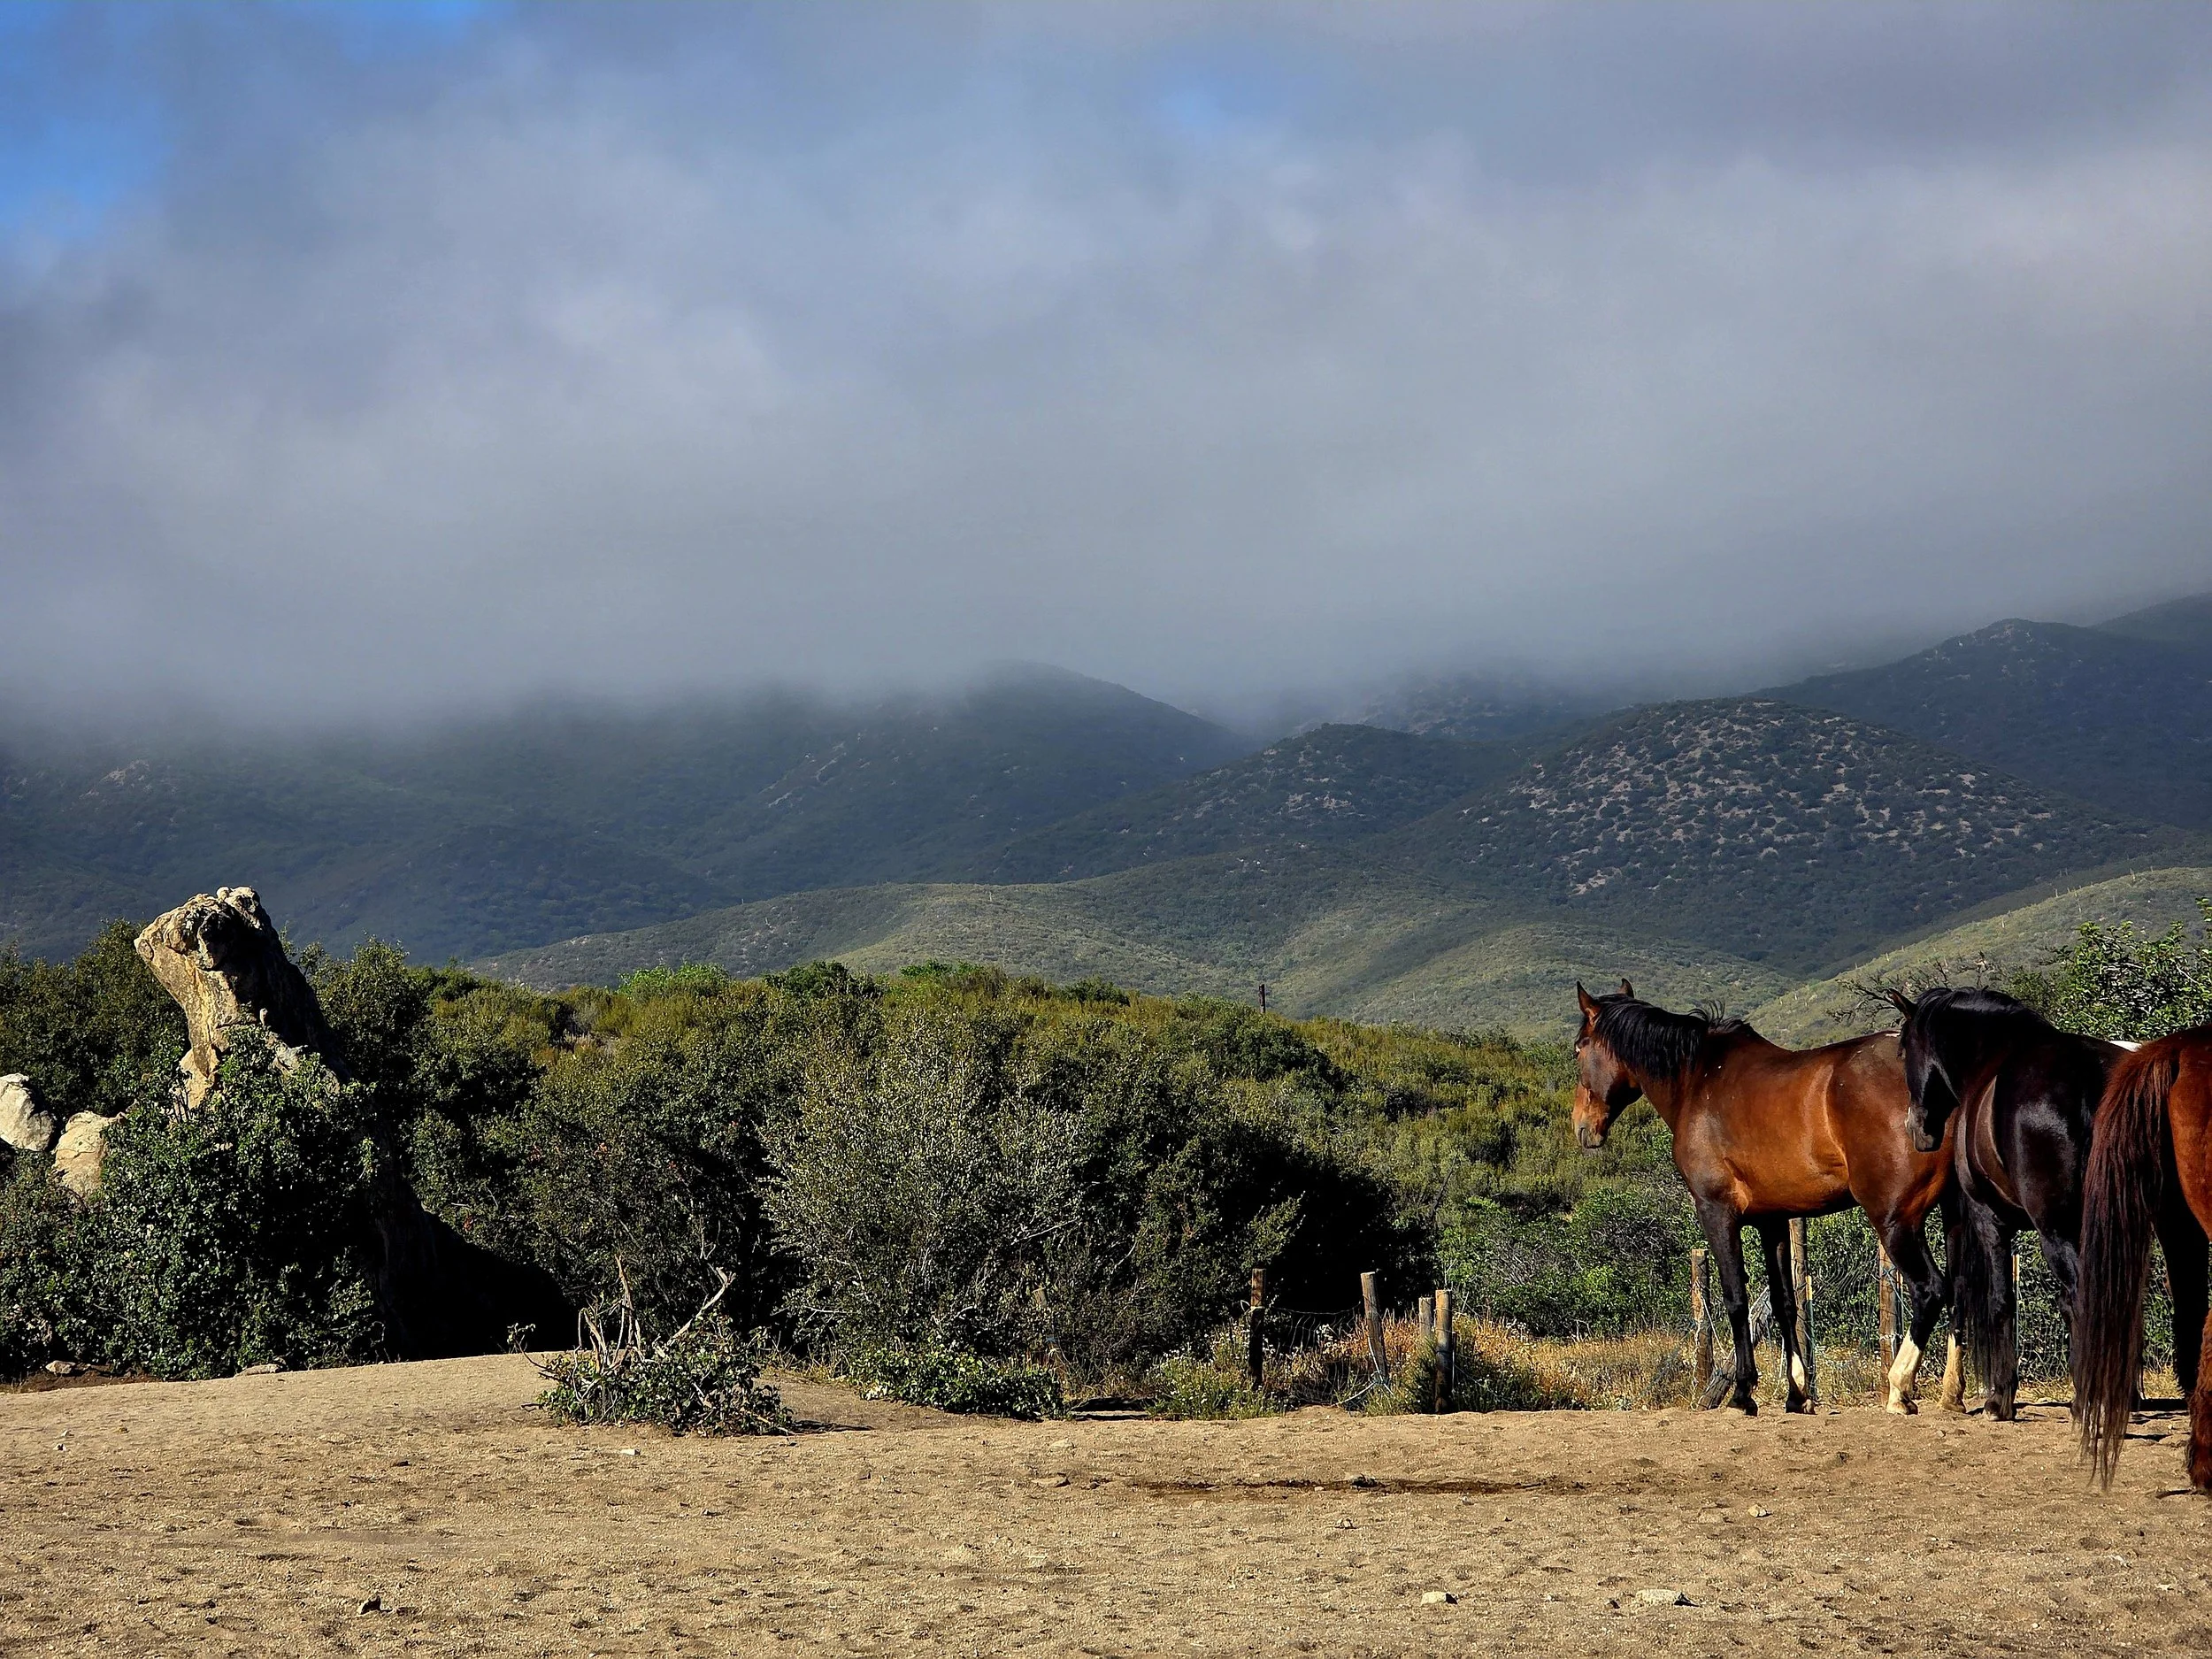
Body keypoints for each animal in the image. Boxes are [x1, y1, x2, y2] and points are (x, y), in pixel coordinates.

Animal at [1573, 981, 1955, 1415]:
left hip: (1896, 1220)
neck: (1699, 1080)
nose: (1581, 1126)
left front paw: (1743, 1393)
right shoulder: (1772, 1220)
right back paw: (1955, 1393)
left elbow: (1736, 1297)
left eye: (1579, 1048)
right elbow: (1784, 1302)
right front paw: (1797, 1394)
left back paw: (1900, 1390)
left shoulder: (1717, 1213)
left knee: (1931, 1290)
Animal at [1889, 987, 2205, 1421]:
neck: (1992, 1059)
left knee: (2082, 1297)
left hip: (2057, 1230)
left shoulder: (1991, 1220)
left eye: (1904, 1049)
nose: (1916, 1128)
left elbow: (2003, 1301)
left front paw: (1999, 1399)